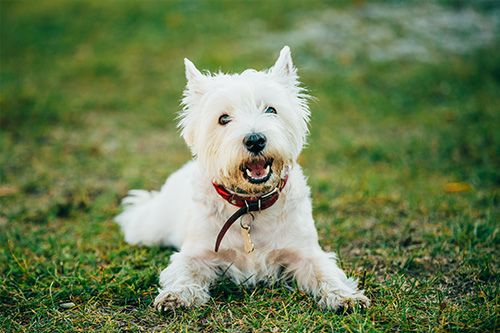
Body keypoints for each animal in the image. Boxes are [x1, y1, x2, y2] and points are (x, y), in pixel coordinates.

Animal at [115, 46, 370, 312]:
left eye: (271, 110)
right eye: (223, 118)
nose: (255, 140)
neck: (250, 204)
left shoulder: (305, 252)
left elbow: (325, 273)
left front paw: (345, 296)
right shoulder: (197, 252)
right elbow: (185, 271)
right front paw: (176, 295)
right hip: (150, 226)